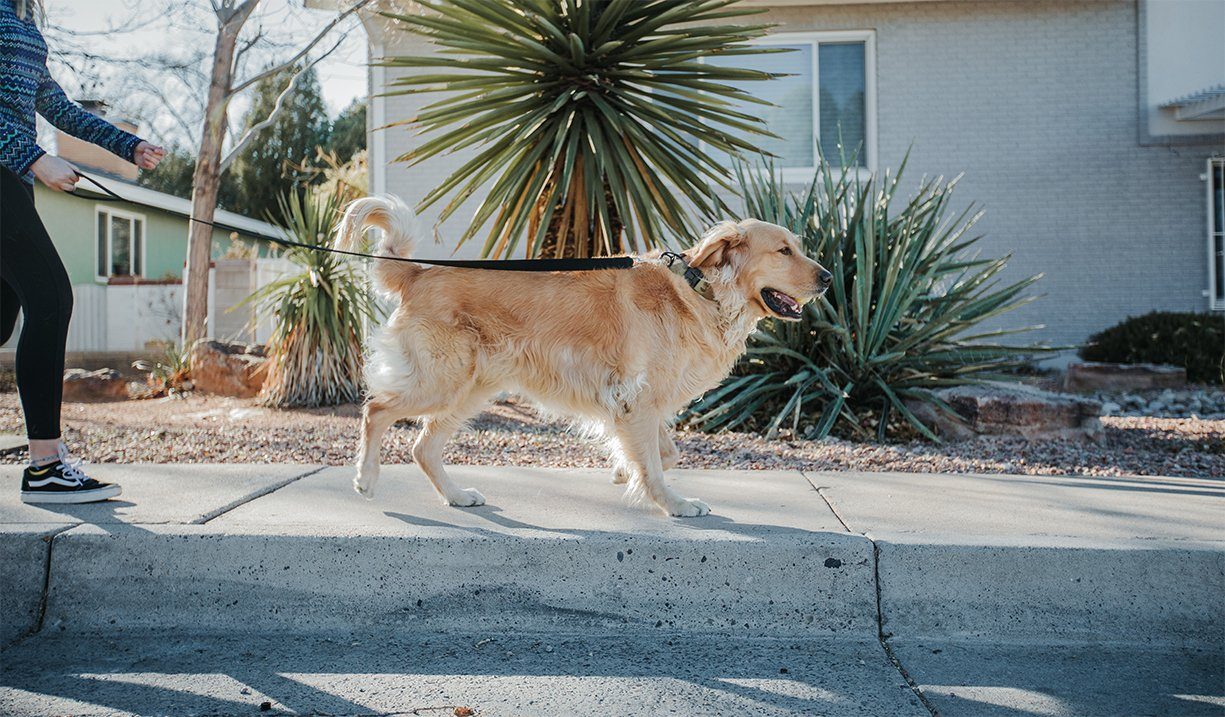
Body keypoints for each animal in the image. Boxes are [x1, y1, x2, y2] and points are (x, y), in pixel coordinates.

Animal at [335, 196, 833, 514]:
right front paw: (673, 504)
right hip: (443, 380)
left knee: (422, 447)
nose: (829, 277)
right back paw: (366, 479)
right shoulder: (637, 400)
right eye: (783, 251)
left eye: (800, 247)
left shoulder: (640, 406)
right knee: (376, 410)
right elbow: (656, 465)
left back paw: (456, 496)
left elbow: (663, 454)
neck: (702, 292)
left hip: (471, 388)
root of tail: (418, 273)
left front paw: (622, 472)